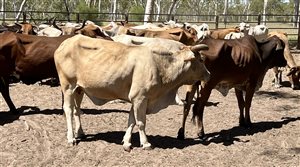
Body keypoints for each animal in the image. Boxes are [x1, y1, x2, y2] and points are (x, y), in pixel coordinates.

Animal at [54, 34, 210, 151]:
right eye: (201, 59)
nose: (209, 74)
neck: (160, 66)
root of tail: (64, 44)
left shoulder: (138, 99)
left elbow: (131, 121)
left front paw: (127, 142)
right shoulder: (140, 98)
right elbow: (140, 122)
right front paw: (145, 143)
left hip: (79, 89)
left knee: (77, 110)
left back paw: (80, 133)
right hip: (68, 86)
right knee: (68, 110)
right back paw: (71, 138)